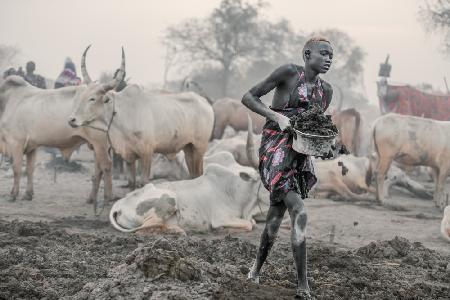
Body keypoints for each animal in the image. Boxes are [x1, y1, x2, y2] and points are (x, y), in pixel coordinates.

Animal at [67, 46, 214, 188]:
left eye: (92, 98)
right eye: (82, 95)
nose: (71, 120)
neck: (123, 113)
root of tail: (205, 103)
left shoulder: (147, 153)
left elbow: (143, 181)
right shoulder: (129, 156)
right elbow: (131, 182)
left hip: (199, 148)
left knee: (199, 173)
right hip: (188, 148)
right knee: (193, 174)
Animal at [109, 151, 268, 233]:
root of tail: (118, 204)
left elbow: (253, 222)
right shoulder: (221, 218)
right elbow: (249, 225)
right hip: (169, 199)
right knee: (145, 228)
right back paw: (177, 230)